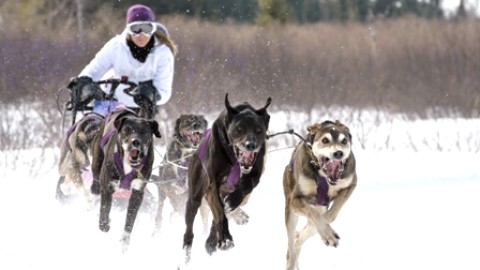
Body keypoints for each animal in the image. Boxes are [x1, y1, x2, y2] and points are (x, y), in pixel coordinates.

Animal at [88, 105, 159, 251]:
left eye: (144, 131)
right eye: (127, 130)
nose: (135, 141)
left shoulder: (137, 193)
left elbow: (130, 219)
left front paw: (125, 240)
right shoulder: (107, 187)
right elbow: (104, 212)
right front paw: (105, 224)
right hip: (97, 168)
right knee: (95, 187)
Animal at [284, 121, 356, 270]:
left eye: (344, 141)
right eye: (325, 140)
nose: (338, 153)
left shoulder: (350, 184)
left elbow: (330, 215)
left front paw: (326, 230)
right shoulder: (295, 200)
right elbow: (314, 215)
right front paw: (327, 233)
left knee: (300, 236)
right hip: (290, 212)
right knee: (291, 244)